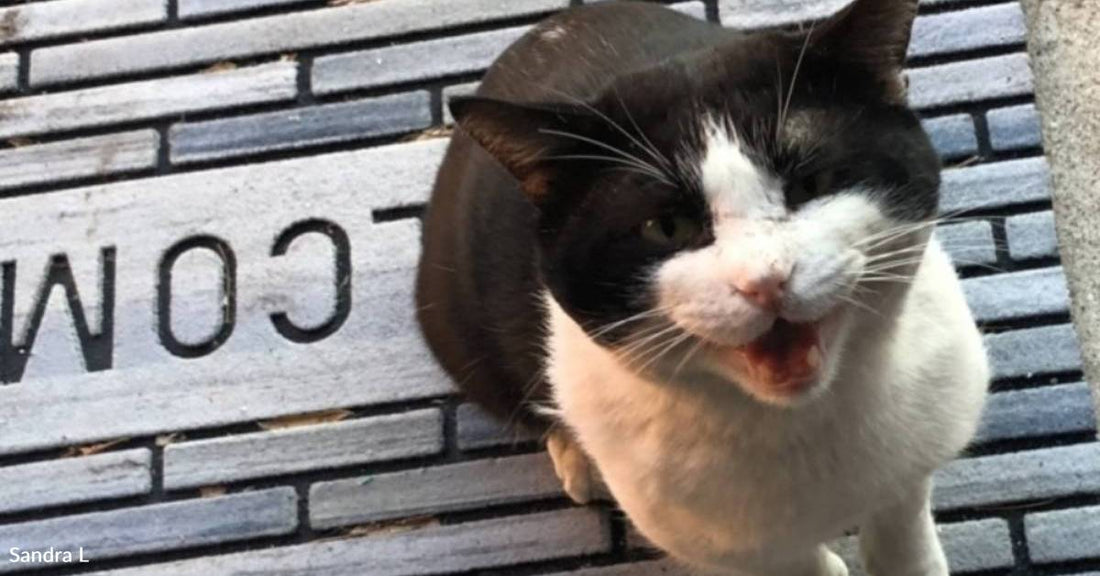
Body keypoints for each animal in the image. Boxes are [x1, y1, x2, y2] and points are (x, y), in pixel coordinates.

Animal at [415, 2, 994, 571]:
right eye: (667, 227)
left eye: (813, 183)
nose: (765, 279)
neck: (803, 419)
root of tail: (543, 30)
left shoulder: (915, 452)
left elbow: (902, 526)